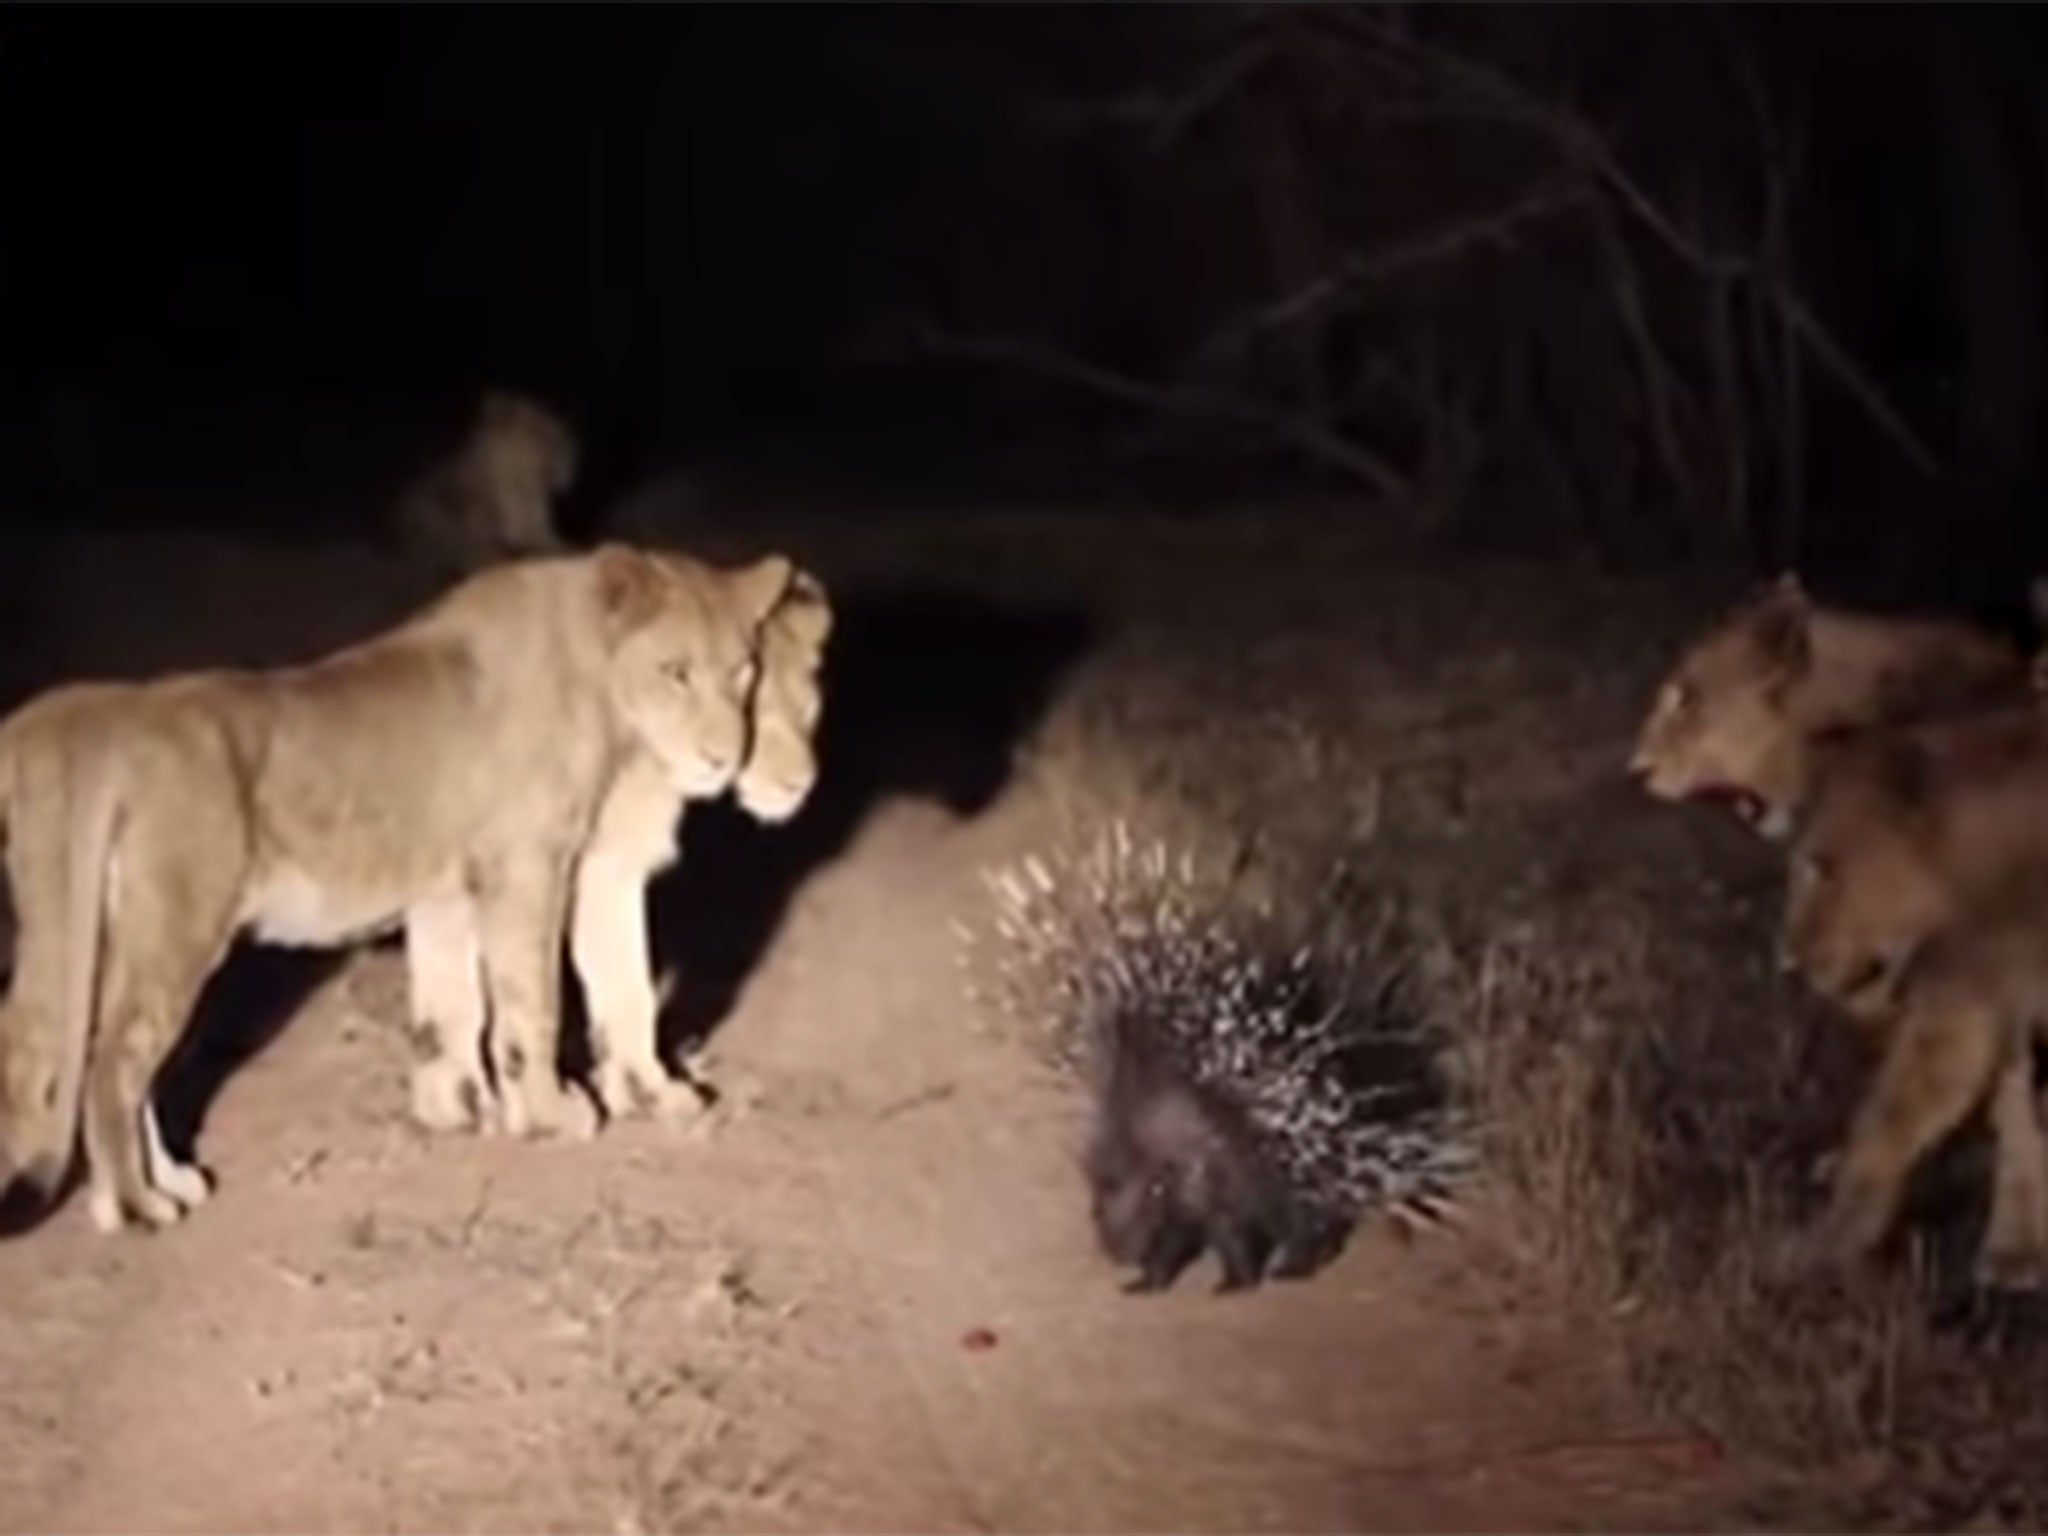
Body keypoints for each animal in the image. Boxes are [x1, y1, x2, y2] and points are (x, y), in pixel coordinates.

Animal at [0, 548, 790, 1236]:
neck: (600, 677)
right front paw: (548, 1115)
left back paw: (165, 1181)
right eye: (676, 671)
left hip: (91, 935)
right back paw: (136, 1207)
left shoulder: (454, 887)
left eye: (743, 670)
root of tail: (113, 738)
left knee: (83, 1056)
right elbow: (531, 1003)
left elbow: (457, 1005)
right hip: (177, 929)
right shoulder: (527, 866)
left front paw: (466, 1109)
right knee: (113, 1064)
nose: (724, 757)